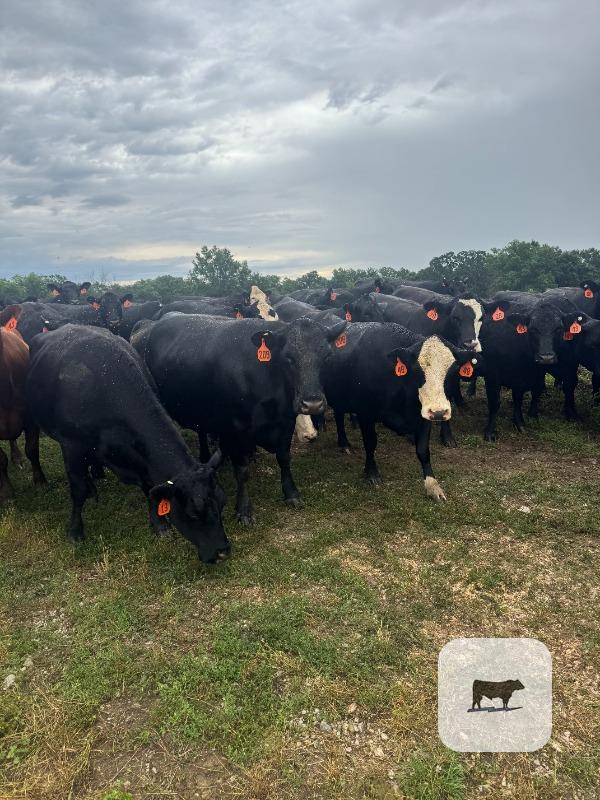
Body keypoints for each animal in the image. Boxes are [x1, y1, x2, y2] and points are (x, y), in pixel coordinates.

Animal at [26, 325, 229, 563]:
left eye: (222, 502)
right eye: (193, 513)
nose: (223, 551)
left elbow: (150, 488)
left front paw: (159, 525)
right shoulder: (72, 446)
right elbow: (77, 490)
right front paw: (75, 532)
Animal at [141, 313, 346, 523]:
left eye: (327, 356)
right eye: (288, 357)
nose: (312, 403)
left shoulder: (286, 423)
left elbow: (284, 458)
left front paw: (291, 493)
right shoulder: (236, 428)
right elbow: (242, 471)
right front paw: (244, 509)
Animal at [321, 322, 479, 500]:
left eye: (453, 370)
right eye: (417, 370)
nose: (439, 412)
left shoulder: (423, 415)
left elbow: (423, 450)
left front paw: (432, 485)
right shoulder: (366, 414)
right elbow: (370, 443)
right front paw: (372, 473)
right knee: (338, 416)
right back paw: (344, 443)